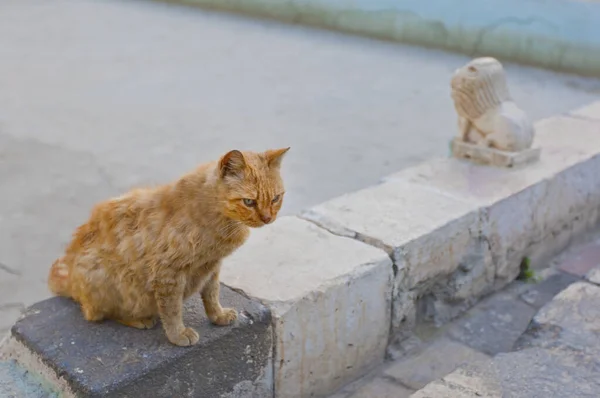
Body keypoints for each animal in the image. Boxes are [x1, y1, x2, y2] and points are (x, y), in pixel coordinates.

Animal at [49, 148, 288, 346]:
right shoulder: (168, 273)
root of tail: (70, 277)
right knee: (96, 313)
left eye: (275, 198)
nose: (268, 218)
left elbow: (212, 294)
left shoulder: (211, 266)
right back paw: (140, 319)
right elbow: (172, 310)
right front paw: (178, 335)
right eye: (249, 202)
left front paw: (218, 316)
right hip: (108, 279)